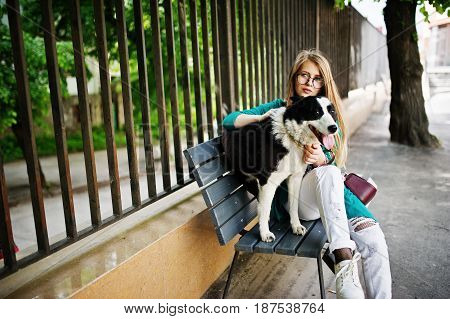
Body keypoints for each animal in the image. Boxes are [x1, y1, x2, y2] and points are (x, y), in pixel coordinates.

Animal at [223, 95, 340, 242]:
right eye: (317, 113)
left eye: (332, 112)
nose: (334, 128)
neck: (291, 135)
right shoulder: (268, 182)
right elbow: (265, 208)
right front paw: (265, 233)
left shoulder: (295, 179)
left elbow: (294, 206)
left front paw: (296, 226)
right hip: (248, 179)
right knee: (261, 204)